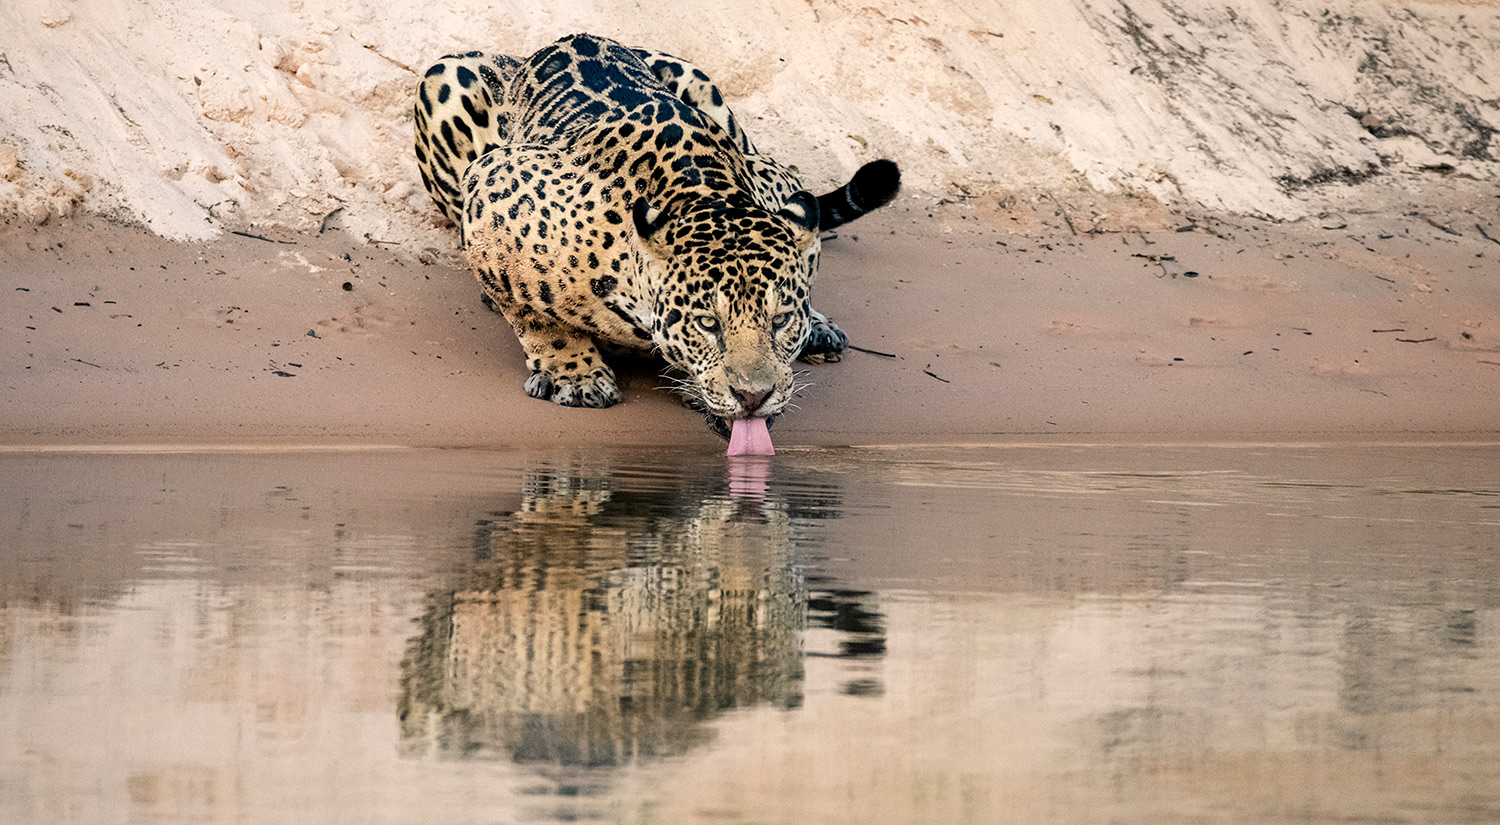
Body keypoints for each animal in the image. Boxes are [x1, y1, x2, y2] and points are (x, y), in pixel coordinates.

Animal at [413, 33, 900, 435]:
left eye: (779, 321)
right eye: (708, 324)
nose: (753, 397)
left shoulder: (776, 182)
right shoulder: (493, 183)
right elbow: (532, 313)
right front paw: (573, 373)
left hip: (708, 90)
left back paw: (821, 329)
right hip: (447, 75)